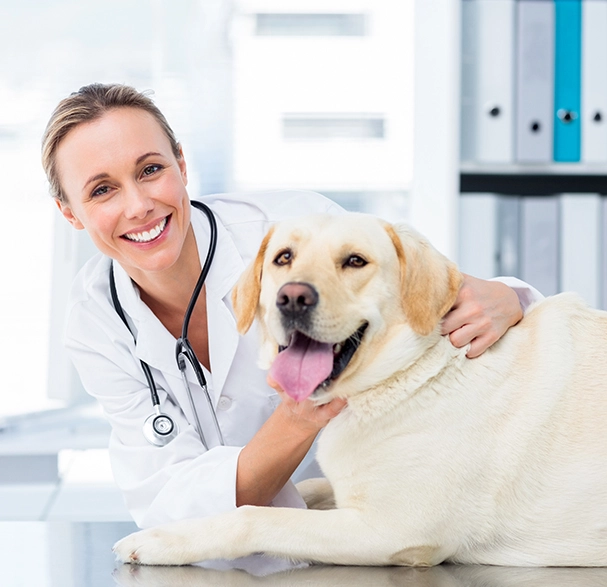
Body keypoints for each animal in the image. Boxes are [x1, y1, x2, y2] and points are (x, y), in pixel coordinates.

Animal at [113, 214, 607, 568]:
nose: (292, 297)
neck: (410, 373)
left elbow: (253, 516)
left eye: (355, 261)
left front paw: (161, 539)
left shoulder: (393, 530)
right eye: (283, 258)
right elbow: (305, 485)